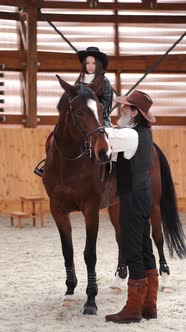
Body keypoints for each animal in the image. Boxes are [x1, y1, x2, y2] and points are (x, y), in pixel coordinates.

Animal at [42, 76, 186, 316]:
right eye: (78, 112)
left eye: (101, 110)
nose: (104, 152)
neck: (69, 164)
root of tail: (153, 147)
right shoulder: (58, 210)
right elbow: (67, 252)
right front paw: (69, 293)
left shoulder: (91, 209)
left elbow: (89, 253)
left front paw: (91, 300)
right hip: (117, 206)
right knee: (122, 238)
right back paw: (119, 280)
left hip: (153, 206)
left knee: (158, 237)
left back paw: (165, 280)